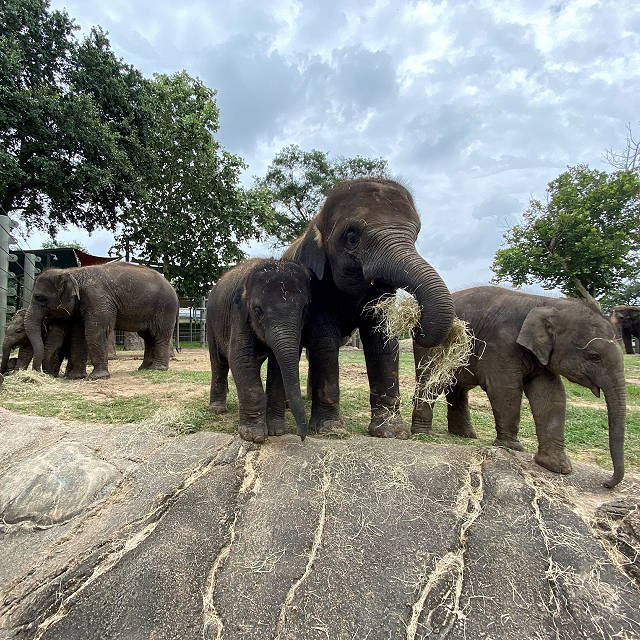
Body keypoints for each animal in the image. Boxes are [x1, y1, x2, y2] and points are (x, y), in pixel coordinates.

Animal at [25, 262, 179, 379]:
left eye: (40, 298)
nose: (40, 374)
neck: (73, 272)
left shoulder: (97, 298)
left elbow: (95, 330)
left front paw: (96, 377)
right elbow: (78, 334)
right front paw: (76, 377)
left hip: (165, 308)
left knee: (159, 335)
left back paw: (158, 369)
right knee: (148, 337)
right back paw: (144, 369)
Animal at [207, 258, 311, 443]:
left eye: (305, 310)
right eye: (257, 311)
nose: (302, 436)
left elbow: (278, 367)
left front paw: (277, 431)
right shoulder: (238, 315)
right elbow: (240, 358)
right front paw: (253, 436)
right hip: (211, 324)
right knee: (219, 362)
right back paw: (217, 409)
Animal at [283, 178, 453, 439]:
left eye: (416, 235)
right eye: (352, 237)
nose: (416, 324)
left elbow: (382, 341)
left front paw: (392, 432)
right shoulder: (316, 286)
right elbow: (325, 341)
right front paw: (330, 429)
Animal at [412, 286, 626, 488]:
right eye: (594, 356)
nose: (606, 483)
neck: (547, 303)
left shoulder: (541, 356)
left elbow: (551, 396)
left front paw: (556, 467)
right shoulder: (501, 344)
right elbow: (505, 389)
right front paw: (513, 448)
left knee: (458, 389)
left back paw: (465, 435)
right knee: (432, 381)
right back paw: (423, 433)